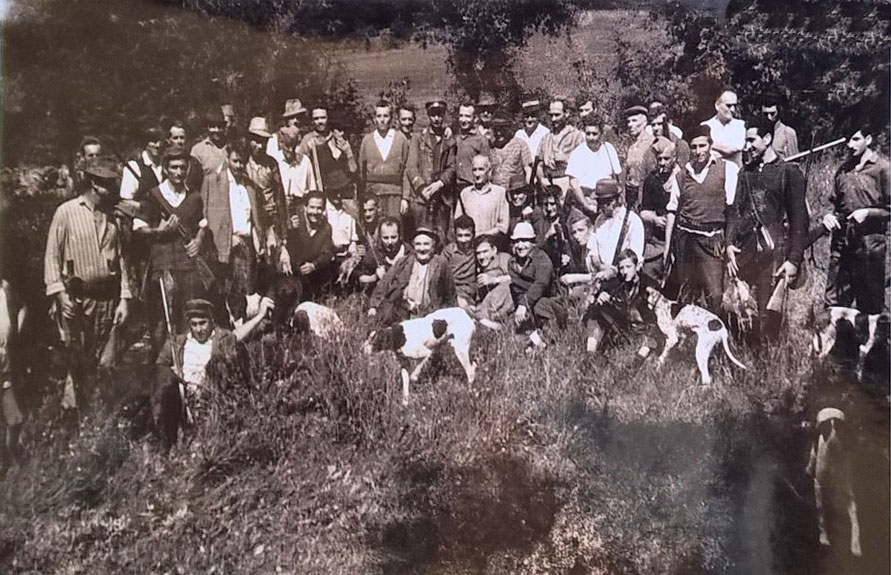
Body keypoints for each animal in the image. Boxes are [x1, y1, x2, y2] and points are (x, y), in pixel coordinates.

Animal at [804, 408, 860, 556]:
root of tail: (830, 408)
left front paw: (856, 545)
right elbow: (821, 513)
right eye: (826, 428)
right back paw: (808, 468)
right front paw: (824, 538)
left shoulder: (848, 492)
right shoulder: (818, 485)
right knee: (812, 455)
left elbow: (855, 521)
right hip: (814, 449)